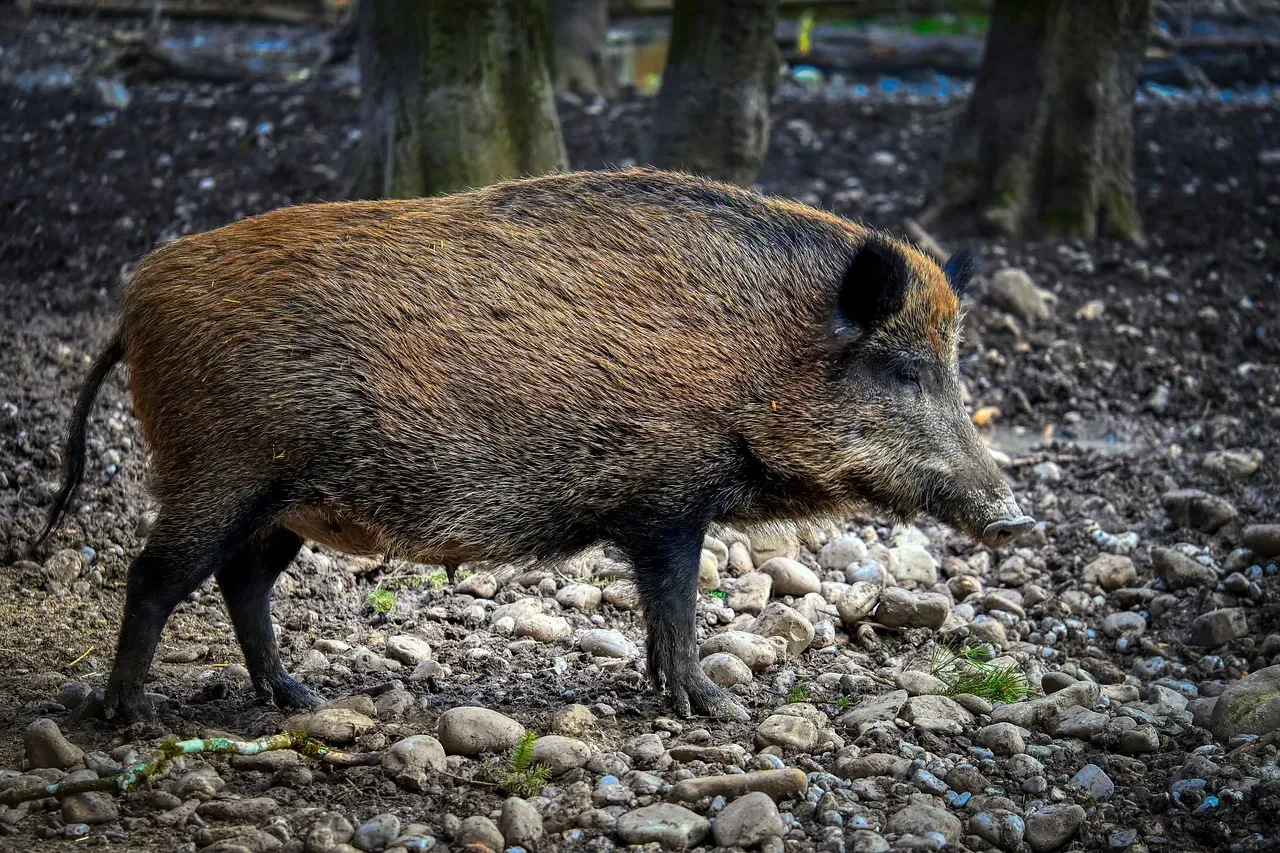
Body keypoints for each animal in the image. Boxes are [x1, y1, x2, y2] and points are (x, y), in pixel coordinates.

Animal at [31, 167, 1034, 724]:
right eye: (903, 370)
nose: (1016, 517)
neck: (758, 355)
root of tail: (134, 300)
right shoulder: (666, 497)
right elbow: (675, 602)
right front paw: (719, 708)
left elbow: (662, 614)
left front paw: (675, 695)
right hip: (219, 469)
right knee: (155, 574)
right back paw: (128, 716)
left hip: (287, 501)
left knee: (241, 581)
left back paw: (302, 700)